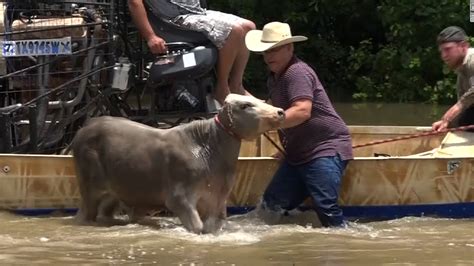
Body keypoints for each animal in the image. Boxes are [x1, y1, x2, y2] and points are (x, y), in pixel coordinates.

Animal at [72, 93, 284, 233]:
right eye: (246, 105)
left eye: (260, 100)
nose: (280, 111)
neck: (209, 147)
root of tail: (87, 125)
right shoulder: (180, 197)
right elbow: (197, 226)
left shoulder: (217, 199)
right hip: (89, 186)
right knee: (84, 214)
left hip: (115, 192)